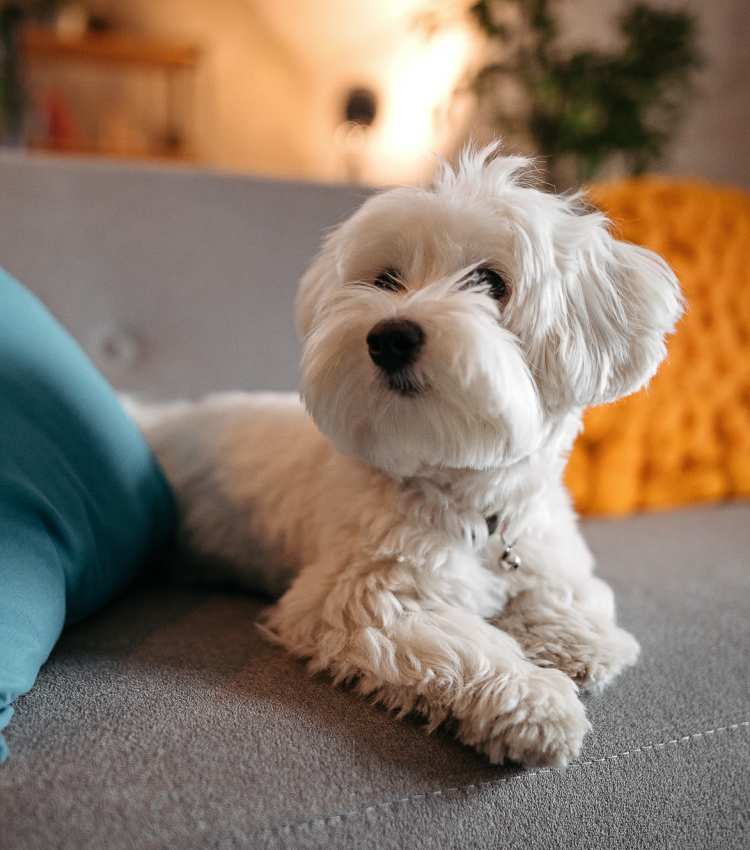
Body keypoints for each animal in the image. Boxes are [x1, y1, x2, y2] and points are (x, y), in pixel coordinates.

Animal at [132, 146, 684, 768]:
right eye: (386, 279)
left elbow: (566, 591)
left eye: (490, 282)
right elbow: (468, 647)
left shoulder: (544, 544)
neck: (472, 502)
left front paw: (576, 639)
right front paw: (535, 702)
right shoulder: (361, 600)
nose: (389, 336)